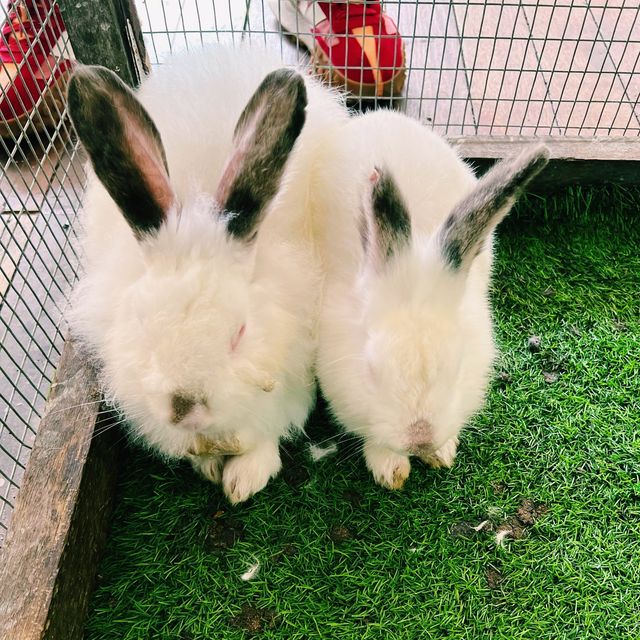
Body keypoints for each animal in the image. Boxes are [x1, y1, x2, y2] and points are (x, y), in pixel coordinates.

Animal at [67, 47, 348, 502]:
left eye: (240, 333)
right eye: (142, 326)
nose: (185, 409)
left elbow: (263, 436)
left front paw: (245, 478)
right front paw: (208, 464)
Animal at [318, 111, 548, 490]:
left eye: (457, 369)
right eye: (371, 372)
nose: (420, 439)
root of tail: (384, 114)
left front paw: (442, 454)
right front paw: (389, 468)